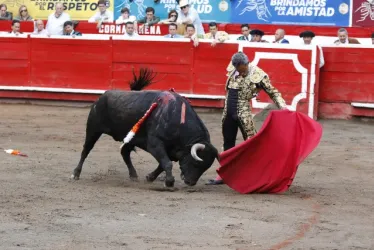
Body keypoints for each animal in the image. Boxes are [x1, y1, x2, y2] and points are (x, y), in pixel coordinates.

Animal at [71, 69, 219, 187]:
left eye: (206, 167)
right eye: (196, 164)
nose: (190, 182)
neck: (178, 122)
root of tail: (102, 96)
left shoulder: (172, 150)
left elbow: (162, 164)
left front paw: (150, 177)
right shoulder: (154, 143)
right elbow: (166, 163)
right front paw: (169, 182)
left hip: (128, 138)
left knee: (124, 153)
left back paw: (133, 175)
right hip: (93, 129)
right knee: (86, 150)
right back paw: (76, 174)